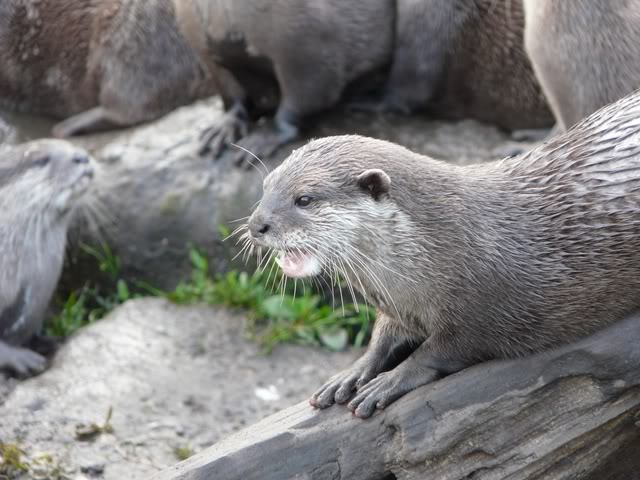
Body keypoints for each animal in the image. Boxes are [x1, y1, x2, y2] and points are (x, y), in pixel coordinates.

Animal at [178, 0, 552, 165]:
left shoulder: (308, 46)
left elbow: (304, 97)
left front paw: (265, 137)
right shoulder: (202, 45)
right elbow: (233, 95)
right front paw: (224, 128)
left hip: (429, 15)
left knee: (410, 88)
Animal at [246, 89, 640, 416]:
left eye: (304, 199)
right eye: (265, 187)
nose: (256, 225)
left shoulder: (489, 310)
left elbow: (443, 350)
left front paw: (389, 381)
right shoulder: (398, 306)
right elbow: (383, 336)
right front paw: (352, 372)